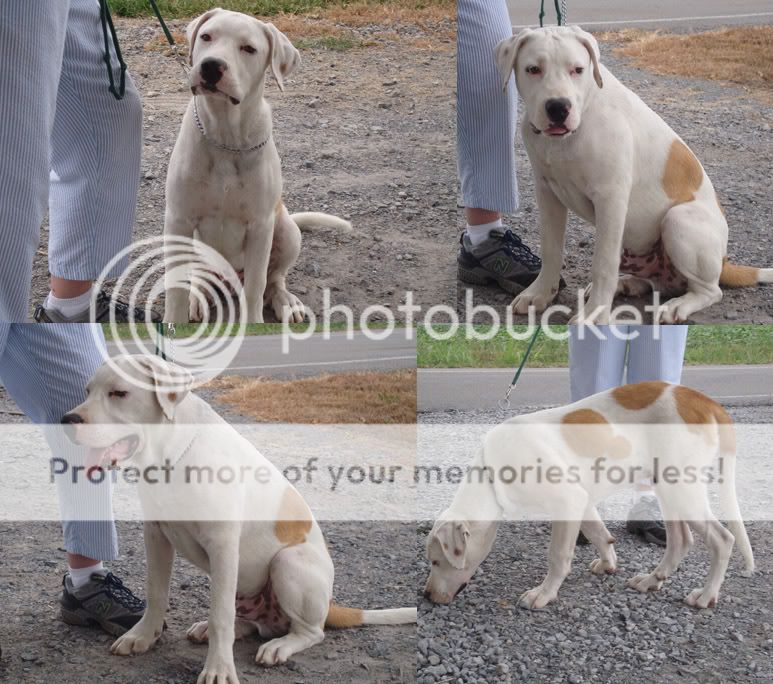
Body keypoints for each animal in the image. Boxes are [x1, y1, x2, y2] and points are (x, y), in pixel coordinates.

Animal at [61, 358, 416, 684]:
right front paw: (143, 636)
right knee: (248, 623)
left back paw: (279, 646)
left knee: (310, 631)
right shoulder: (156, 535)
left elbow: (220, 615)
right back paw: (212, 629)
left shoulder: (222, 544)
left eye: (119, 393)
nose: (66, 420)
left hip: (287, 562)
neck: (172, 455)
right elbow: (157, 592)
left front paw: (218, 668)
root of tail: (331, 603)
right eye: (87, 391)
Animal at [422, 382, 752, 612]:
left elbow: (558, 556)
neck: (492, 474)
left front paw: (544, 594)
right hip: (668, 488)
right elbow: (599, 534)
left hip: (682, 491)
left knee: (723, 539)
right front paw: (608, 564)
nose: (425, 596)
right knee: (681, 541)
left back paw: (706, 596)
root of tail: (705, 401)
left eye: (437, 562)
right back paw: (650, 581)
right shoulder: (581, 500)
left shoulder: (567, 501)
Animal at [494, 26, 772, 324]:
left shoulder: (610, 198)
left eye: (578, 69)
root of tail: (724, 260)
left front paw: (594, 314)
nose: (558, 107)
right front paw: (540, 293)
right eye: (533, 69)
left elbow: (603, 263)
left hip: (679, 220)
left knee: (709, 291)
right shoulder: (547, 192)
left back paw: (676, 306)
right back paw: (627, 284)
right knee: (657, 282)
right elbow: (551, 249)